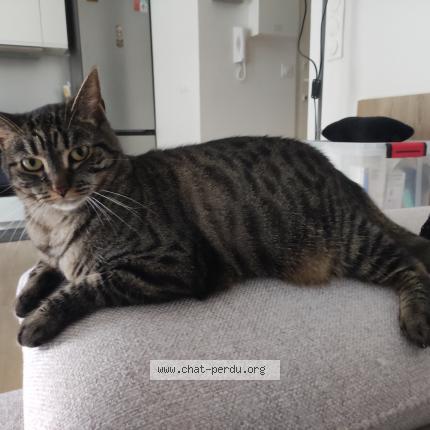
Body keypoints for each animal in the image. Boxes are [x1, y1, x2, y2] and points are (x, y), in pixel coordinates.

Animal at [1, 69, 430, 348]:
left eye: (79, 152)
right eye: (32, 164)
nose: (59, 187)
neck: (55, 223)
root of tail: (335, 169)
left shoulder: (172, 266)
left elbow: (87, 284)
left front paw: (39, 318)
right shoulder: (55, 253)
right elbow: (45, 266)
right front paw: (26, 297)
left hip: (355, 243)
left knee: (414, 266)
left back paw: (416, 319)